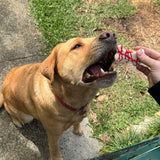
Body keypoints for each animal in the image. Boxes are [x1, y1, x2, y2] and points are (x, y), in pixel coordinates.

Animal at [0, 31, 117, 160]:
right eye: (76, 46)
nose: (111, 35)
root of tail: (2, 90)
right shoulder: (53, 134)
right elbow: (54, 148)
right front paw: (57, 157)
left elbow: (77, 122)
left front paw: (77, 128)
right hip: (25, 116)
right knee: (9, 110)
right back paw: (16, 121)